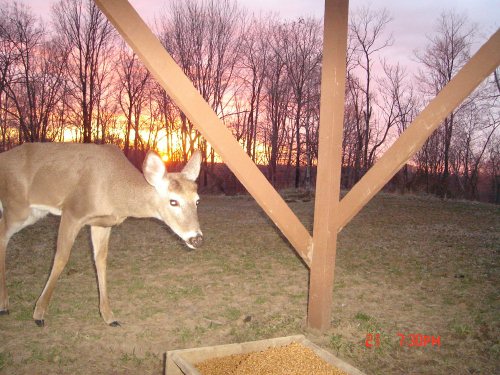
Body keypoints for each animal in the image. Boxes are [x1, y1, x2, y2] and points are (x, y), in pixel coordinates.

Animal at [0, 142, 203, 328]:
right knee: (3, 234)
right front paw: (39, 314)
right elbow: (61, 258)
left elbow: (100, 260)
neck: (115, 192)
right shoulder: (72, 211)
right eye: (173, 201)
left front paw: (109, 316)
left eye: (197, 201)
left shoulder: (102, 223)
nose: (197, 238)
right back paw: (5, 306)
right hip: (17, 206)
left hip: (34, 212)